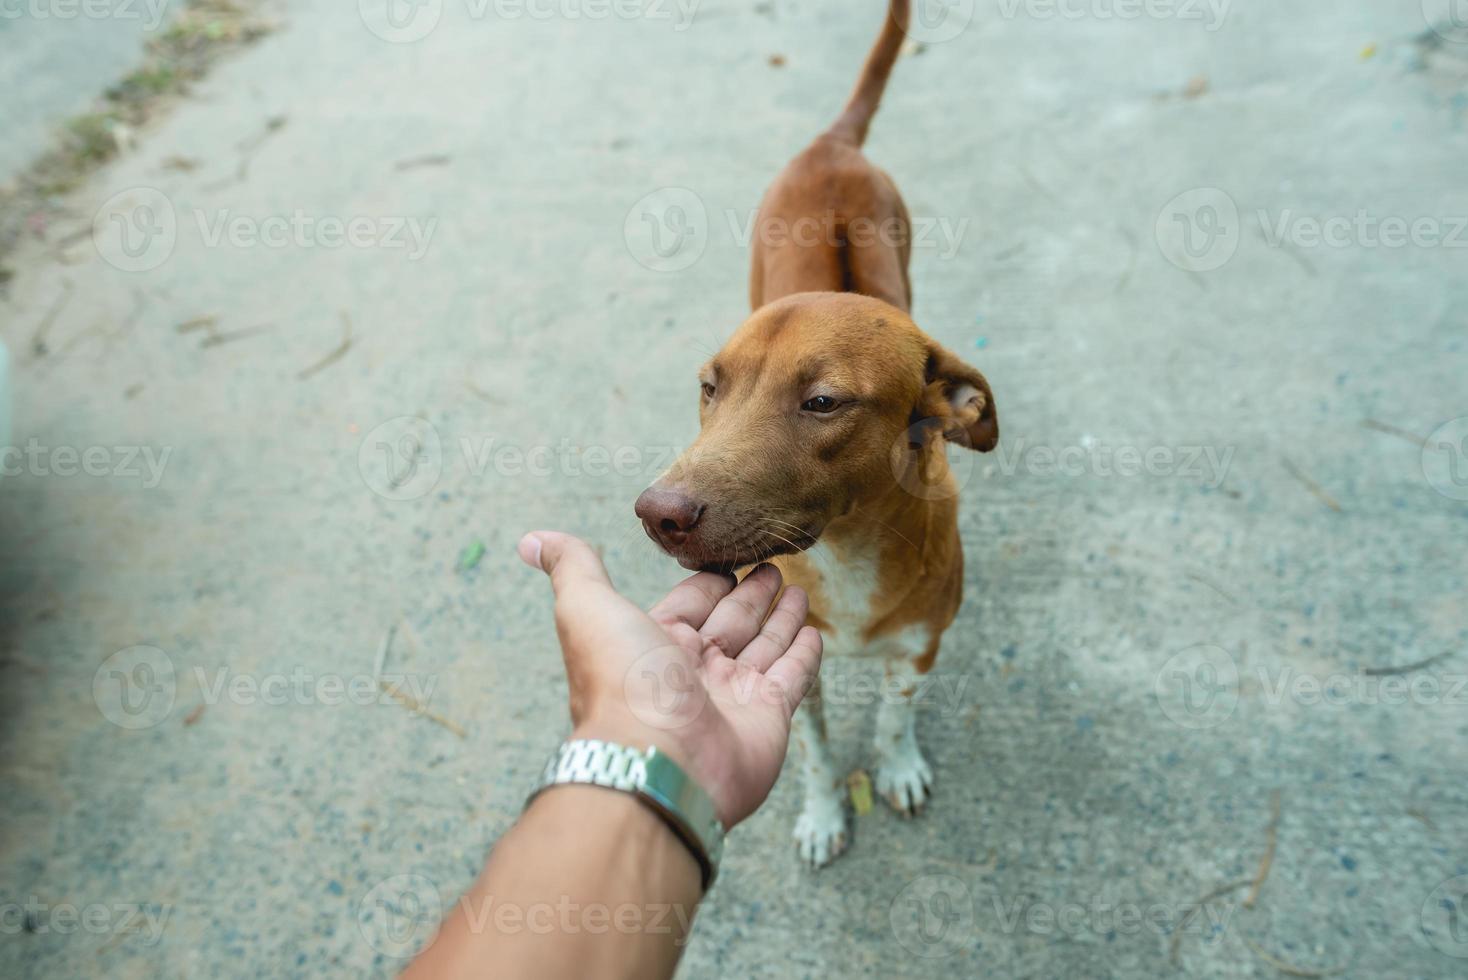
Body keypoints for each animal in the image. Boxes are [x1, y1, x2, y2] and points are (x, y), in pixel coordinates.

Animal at [634, 0, 998, 868]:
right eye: (709, 389)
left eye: (825, 402)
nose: (657, 513)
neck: (848, 546)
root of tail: (833, 143)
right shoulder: (806, 672)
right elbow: (817, 753)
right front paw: (825, 813)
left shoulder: (921, 649)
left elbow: (894, 718)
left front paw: (897, 766)